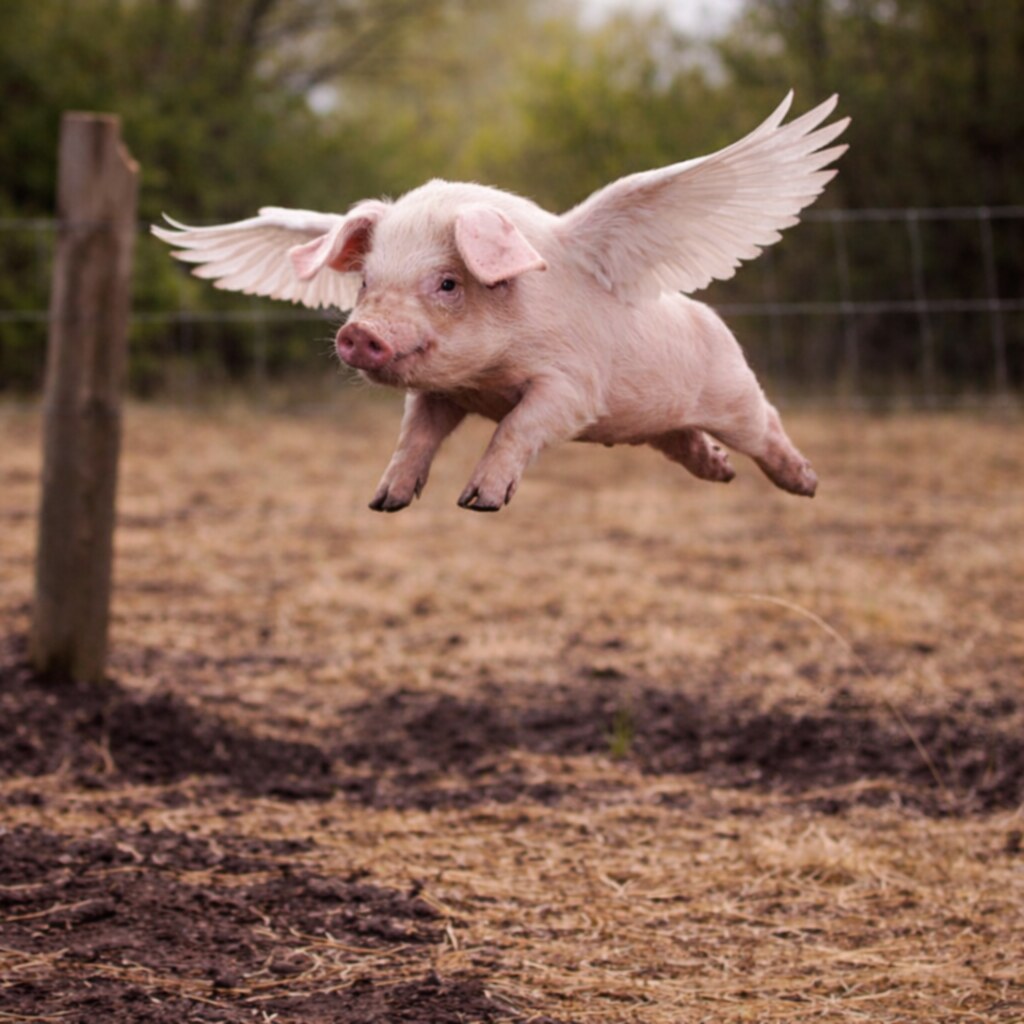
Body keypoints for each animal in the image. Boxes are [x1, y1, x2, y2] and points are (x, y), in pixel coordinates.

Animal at [154, 92, 848, 512]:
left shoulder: (571, 385)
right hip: (657, 420)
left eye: (447, 283)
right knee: (685, 442)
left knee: (768, 422)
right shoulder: (437, 394)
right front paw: (385, 503)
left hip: (731, 389)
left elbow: (518, 426)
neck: (488, 376)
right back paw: (721, 472)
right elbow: (412, 438)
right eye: (364, 281)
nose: (359, 332)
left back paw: (808, 484)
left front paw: (477, 503)